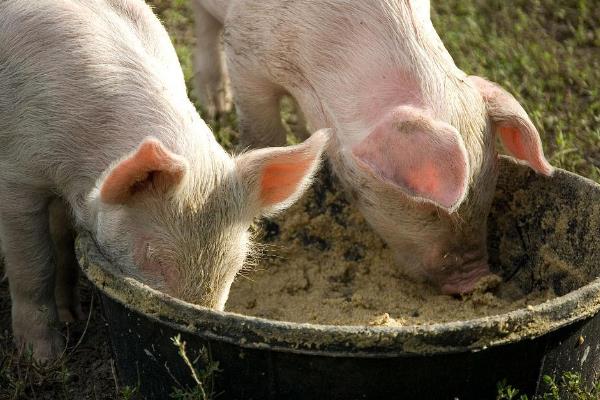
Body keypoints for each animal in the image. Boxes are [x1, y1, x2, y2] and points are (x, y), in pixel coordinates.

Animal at [0, 0, 328, 360]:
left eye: (237, 261)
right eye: (151, 254)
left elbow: (62, 246)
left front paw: (73, 317)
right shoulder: (16, 176)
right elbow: (34, 264)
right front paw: (45, 356)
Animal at [192, 0, 552, 294]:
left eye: (489, 191)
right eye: (430, 208)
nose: (477, 280)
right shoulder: (245, 50)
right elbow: (263, 133)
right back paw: (216, 108)